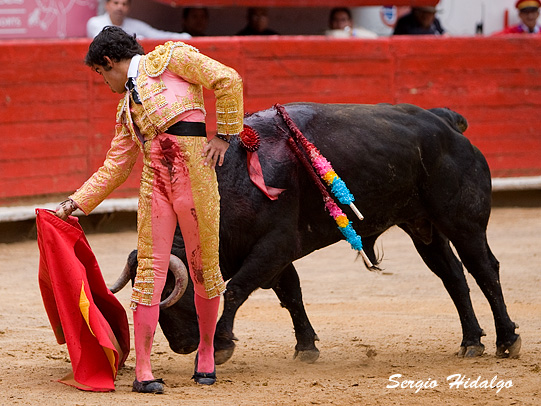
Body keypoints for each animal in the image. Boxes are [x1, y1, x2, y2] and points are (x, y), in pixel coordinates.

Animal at [122, 102, 520, 364]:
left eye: (169, 294)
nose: (184, 346)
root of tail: (445, 122)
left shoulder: (276, 246)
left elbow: (236, 290)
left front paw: (220, 346)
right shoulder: (277, 255)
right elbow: (291, 296)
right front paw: (306, 348)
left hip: (463, 223)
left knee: (485, 271)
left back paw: (506, 340)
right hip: (425, 228)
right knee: (453, 277)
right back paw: (471, 341)